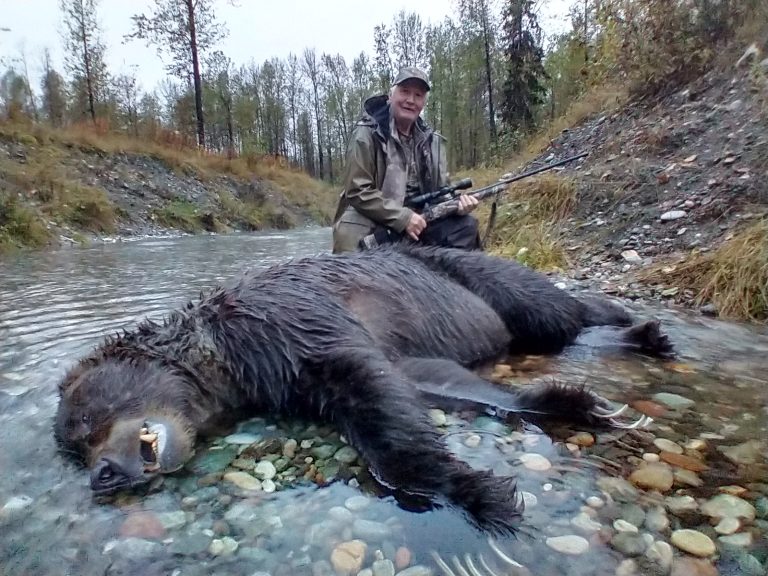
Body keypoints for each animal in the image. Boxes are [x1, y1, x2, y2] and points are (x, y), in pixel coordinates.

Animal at [54, 244, 671, 535]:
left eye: (84, 421)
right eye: (75, 448)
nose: (102, 474)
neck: (228, 364)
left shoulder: (290, 324)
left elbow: (372, 392)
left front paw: (475, 492)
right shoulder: (297, 372)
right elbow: (420, 382)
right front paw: (574, 404)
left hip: (468, 273)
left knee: (555, 311)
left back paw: (640, 330)